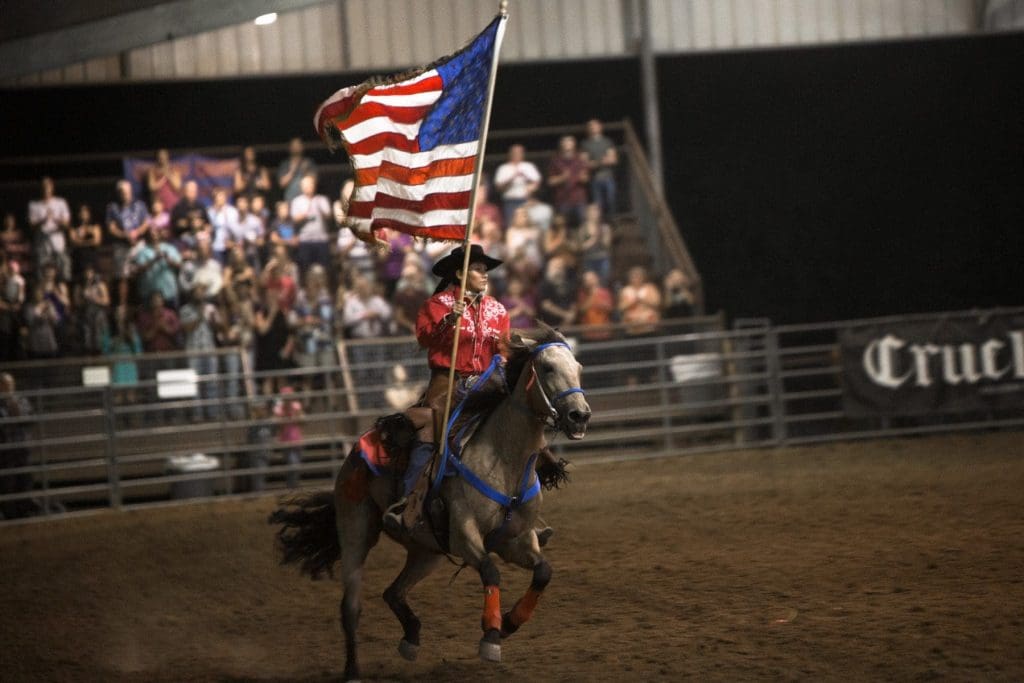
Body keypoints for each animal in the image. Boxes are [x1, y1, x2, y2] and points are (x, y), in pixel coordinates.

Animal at [270, 327, 593, 679]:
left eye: (578, 367)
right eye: (547, 368)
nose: (580, 415)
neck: (503, 460)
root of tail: (356, 451)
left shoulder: (514, 540)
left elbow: (544, 572)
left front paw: (510, 622)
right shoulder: (465, 536)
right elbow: (491, 572)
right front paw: (491, 636)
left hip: (427, 552)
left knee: (393, 591)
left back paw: (411, 637)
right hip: (356, 530)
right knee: (351, 607)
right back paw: (353, 670)